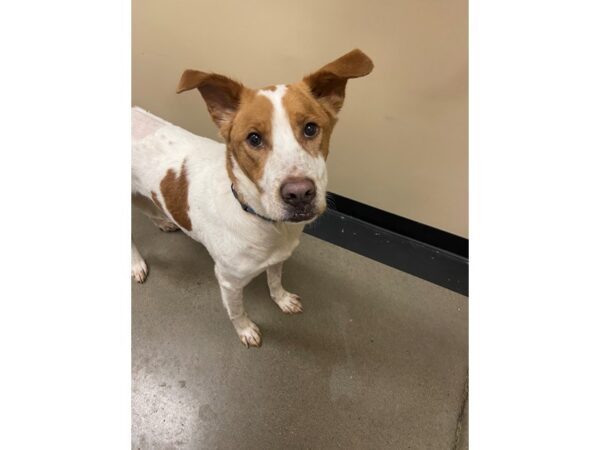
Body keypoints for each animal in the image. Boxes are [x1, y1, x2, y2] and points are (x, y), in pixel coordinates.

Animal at [134, 49, 372, 346]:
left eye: (310, 128)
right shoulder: (228, 281)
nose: (299, 194)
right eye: (254, 138)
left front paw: (281, 299)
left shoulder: (279, 258)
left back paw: (163, 222)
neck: (259, 219)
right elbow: (237, 312)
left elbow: (274, 281)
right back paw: (136, 264)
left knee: (147, 207)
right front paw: (246, 330)